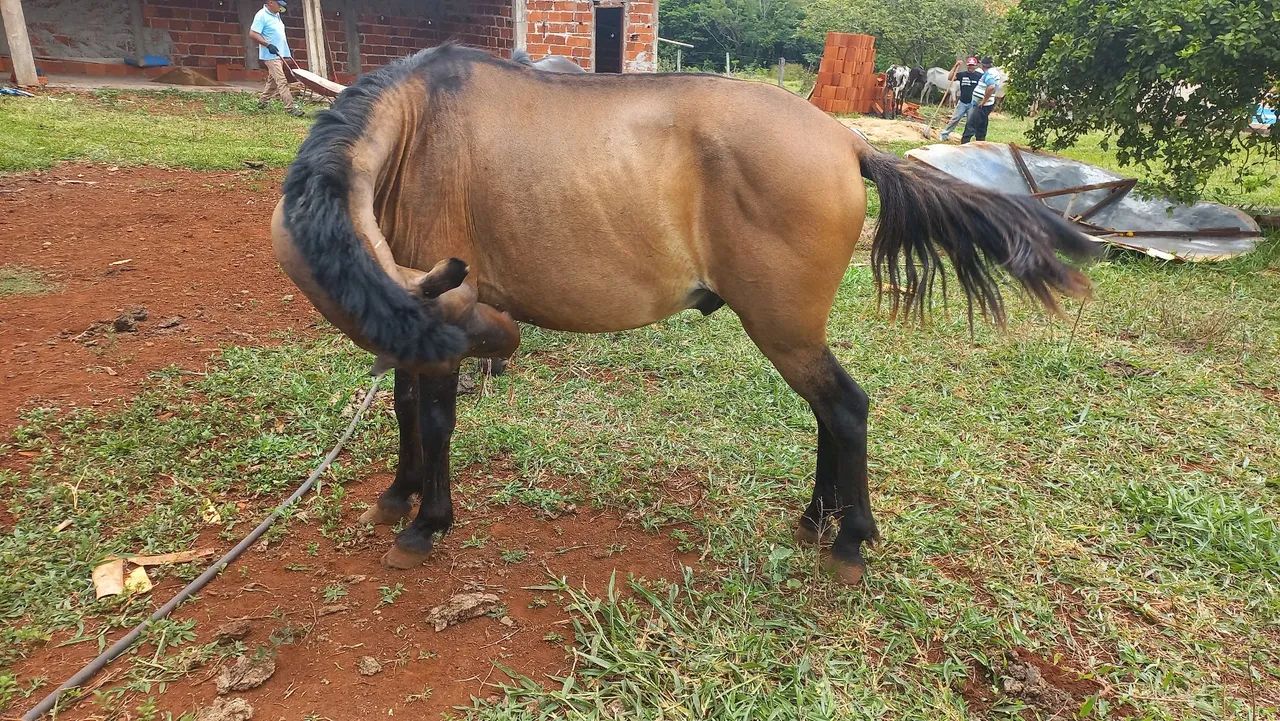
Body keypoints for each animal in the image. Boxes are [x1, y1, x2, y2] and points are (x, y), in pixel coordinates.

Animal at [271, 43, 1094, 586]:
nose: (504, 342)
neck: (418, 126)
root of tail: (846, 140)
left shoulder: (432, 318)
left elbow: (435, 418)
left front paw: (425, 521)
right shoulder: (411, 314)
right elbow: (407, 407)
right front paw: (398, 493)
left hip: (784, 329)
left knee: (846, 408)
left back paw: (849, 539)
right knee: (830, 414)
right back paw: (817, 519)